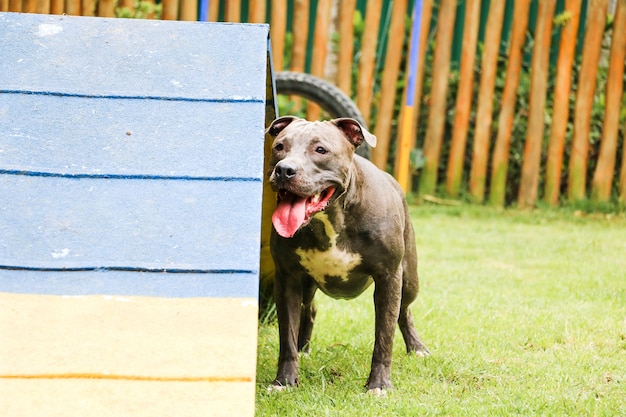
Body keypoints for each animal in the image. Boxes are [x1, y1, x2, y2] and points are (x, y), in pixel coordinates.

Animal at [266, 115, 426, 392]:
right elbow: (287, 337)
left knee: (404, 311)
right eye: (279, 147)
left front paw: (379, 384)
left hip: (408, 280)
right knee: (309, 309)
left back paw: (416, 347)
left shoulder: (388, 278)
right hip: (306, 285)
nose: (284, 170)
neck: (330, 218)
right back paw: (304, 348)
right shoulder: (287, 279)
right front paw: (284, 381)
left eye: (321, 150)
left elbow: (384, 336)